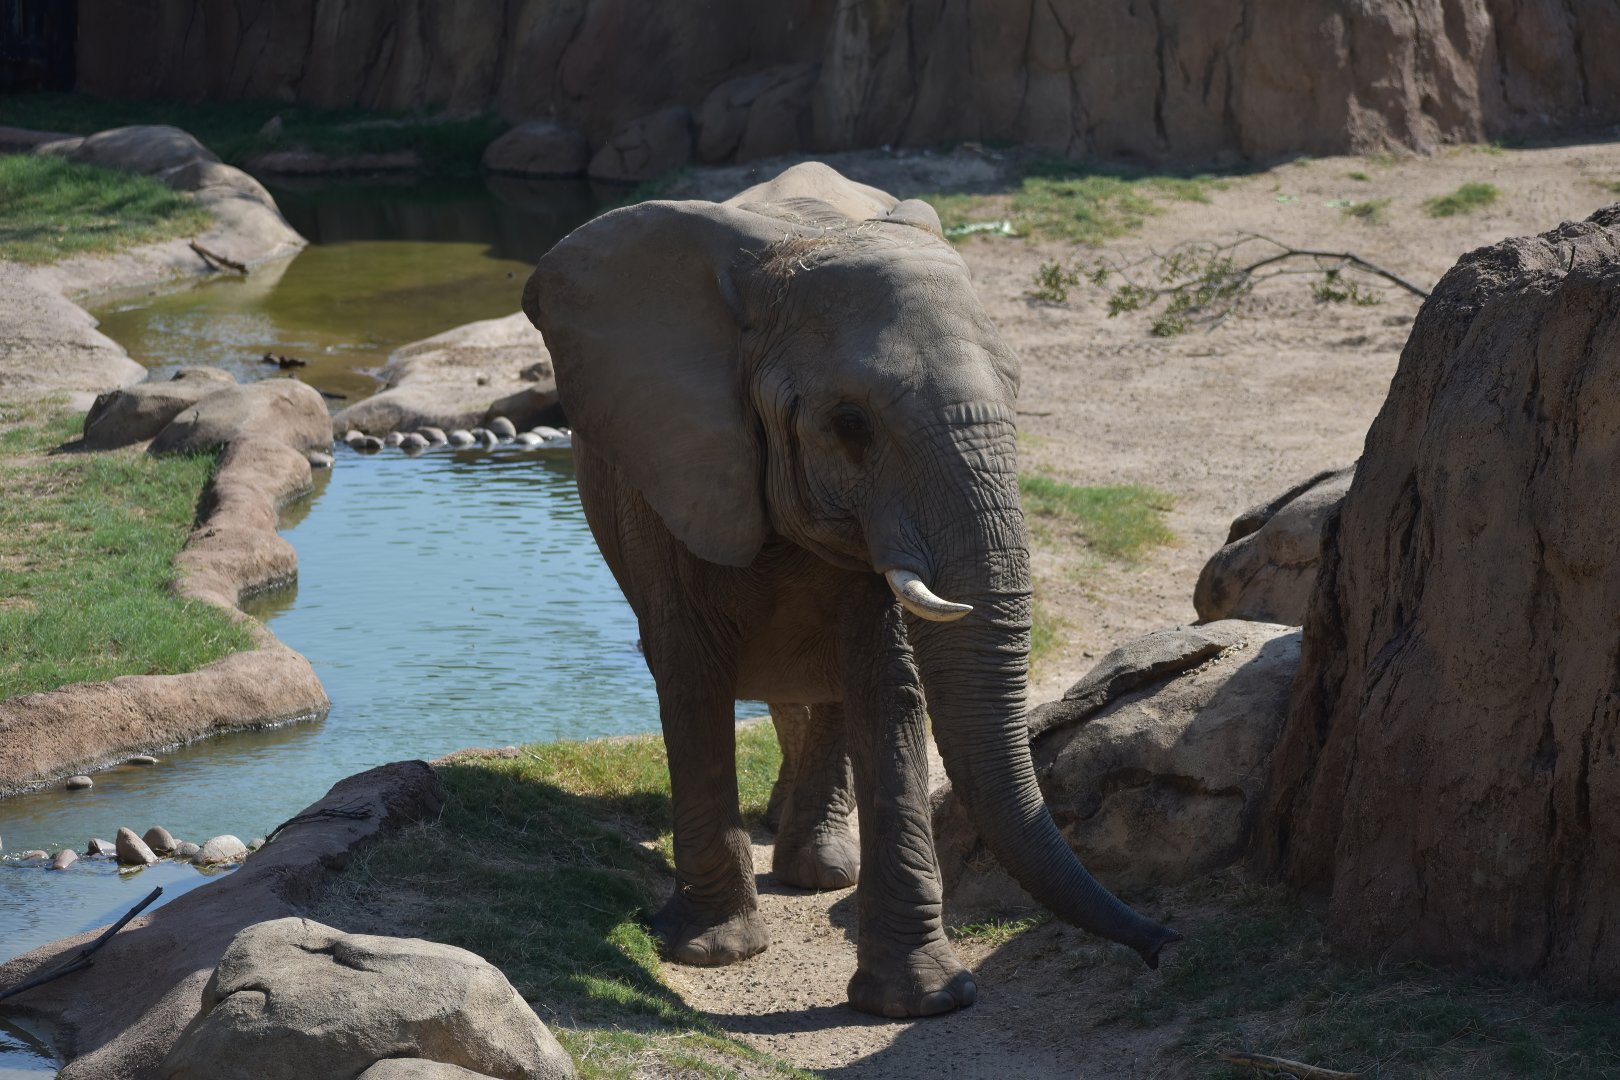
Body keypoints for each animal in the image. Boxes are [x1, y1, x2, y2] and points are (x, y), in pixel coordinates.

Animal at [522, 162, 1180, 1018]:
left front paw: (924, 1001)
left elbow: (887, 682)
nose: (1167, 945)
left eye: (1017, 394)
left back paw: (820, 869)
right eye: (850, 424)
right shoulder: (670, 463)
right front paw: (710, 952)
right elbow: (690, 672)